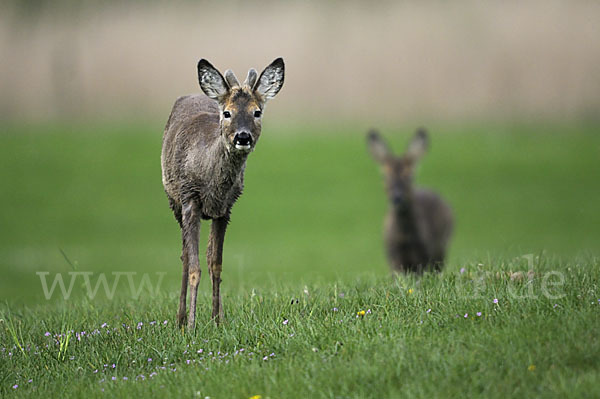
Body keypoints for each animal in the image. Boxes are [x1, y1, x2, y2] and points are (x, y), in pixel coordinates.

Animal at [162, 57, 284, 330]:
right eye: (227, 113)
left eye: (257, 112)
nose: (243, 136)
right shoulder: (189, 199)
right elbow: (194, 267)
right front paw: (192, 326)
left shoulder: (225, 209)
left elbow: (215, 264)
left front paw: (217, 321)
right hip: (173, 201)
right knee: (184, 257)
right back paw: (180, 319)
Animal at [366, 130, 454, 274]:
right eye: (384, 177)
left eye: (410, 176)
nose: (397, 197)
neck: (405, 238)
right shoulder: (393, 256)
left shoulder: (425, 253)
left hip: (443, 245)